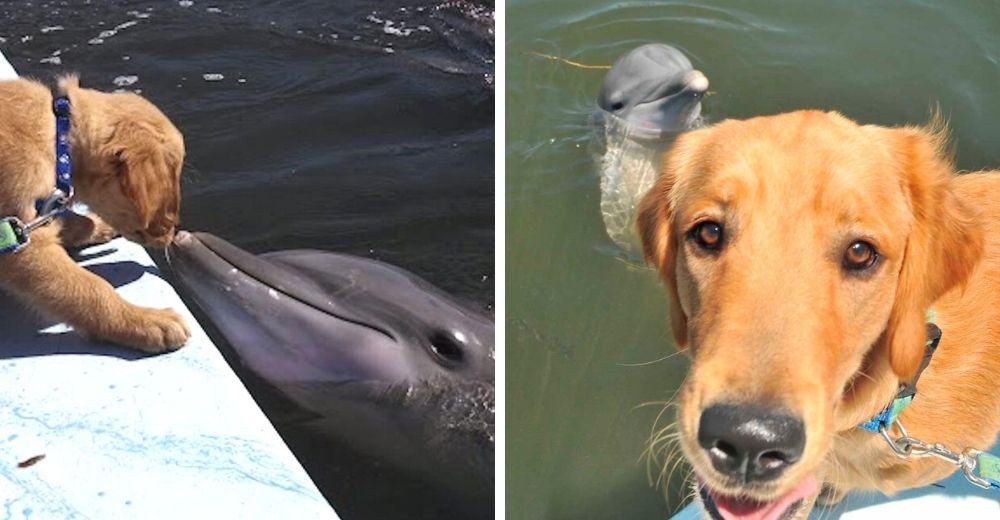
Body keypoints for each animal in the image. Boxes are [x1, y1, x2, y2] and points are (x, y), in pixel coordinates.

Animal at [0, 76, 191, 354]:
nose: (174, 236)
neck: (59, 138)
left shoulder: (28, 222)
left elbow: (70, 220)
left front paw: (98, 226)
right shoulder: (21, 246)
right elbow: (90, 288)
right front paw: (145, 321)